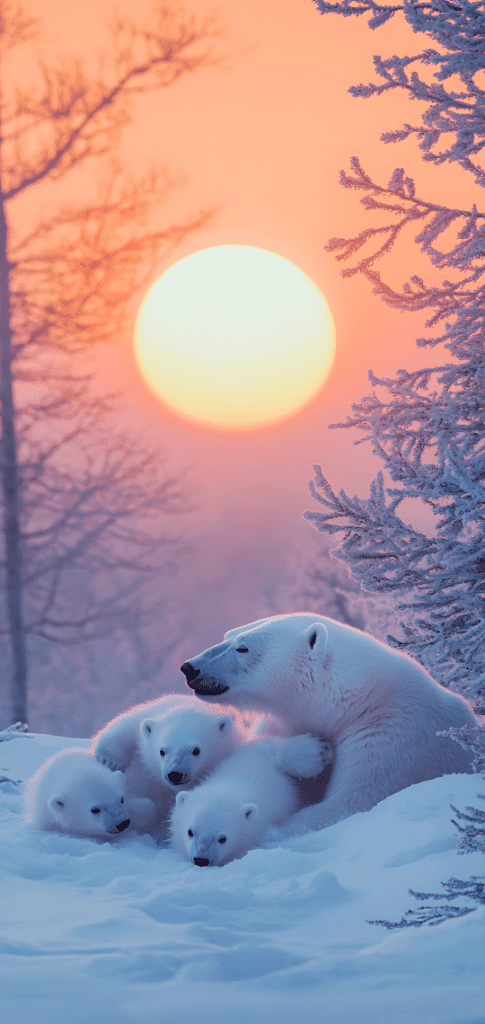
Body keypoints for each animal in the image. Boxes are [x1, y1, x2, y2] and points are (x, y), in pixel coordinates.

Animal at [179, 610, 476, 827]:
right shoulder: (284, 723)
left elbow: (349, 804)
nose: (189, 667)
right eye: (227, 635)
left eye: (243, 648)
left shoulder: (390, 738)